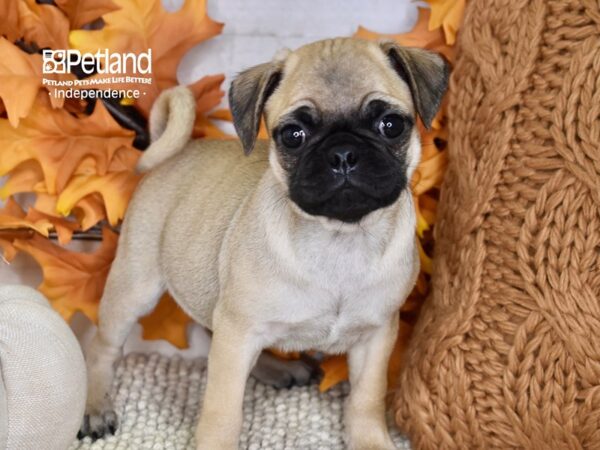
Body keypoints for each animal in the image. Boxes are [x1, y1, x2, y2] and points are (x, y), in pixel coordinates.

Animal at [78, 38, 446, 450]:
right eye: (293, 135)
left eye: (391, 125)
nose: (343, 154)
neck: (339, 237)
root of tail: (172, 152)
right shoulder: (237, 332)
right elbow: (223, 413)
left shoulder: (376, 336)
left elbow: (366, 401)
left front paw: (371, 441)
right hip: (136, 285)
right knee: (104, 348)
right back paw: (95, 407)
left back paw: (275, 368)